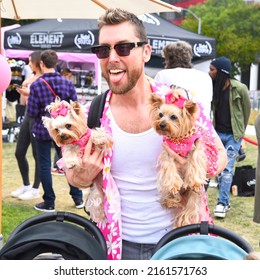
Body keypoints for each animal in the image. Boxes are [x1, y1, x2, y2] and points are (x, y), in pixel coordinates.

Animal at [148, 89, 213, 228]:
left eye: (173, 117)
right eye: (160, 114)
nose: (161, 124)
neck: (179, 139)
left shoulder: (196, 147)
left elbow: (195, 162)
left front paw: (195, 182)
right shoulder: (167, 153)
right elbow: (170, 169)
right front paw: (173, 185)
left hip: (194, 196)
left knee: (190, 209)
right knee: (173, 196)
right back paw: (171, 201)